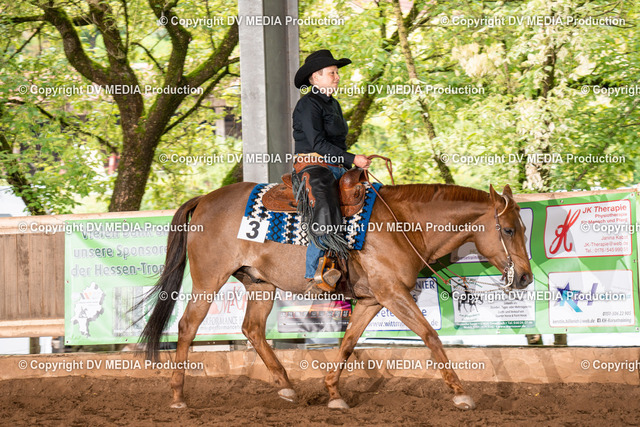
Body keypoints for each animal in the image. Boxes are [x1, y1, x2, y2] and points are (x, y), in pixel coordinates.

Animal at [139, 181, 533, 410]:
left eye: (523, 228)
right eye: (508, 229)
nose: (526, 277)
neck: (403, 223)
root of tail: (205, 199)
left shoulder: (373, 299)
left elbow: (348, 343)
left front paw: (333, 393)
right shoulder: (393, 293)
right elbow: (429, 335)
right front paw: (460, 393)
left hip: (260, 284)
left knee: (252, 329)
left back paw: (287, 388)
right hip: (209, 280)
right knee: (187, 326)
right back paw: (178, 396)